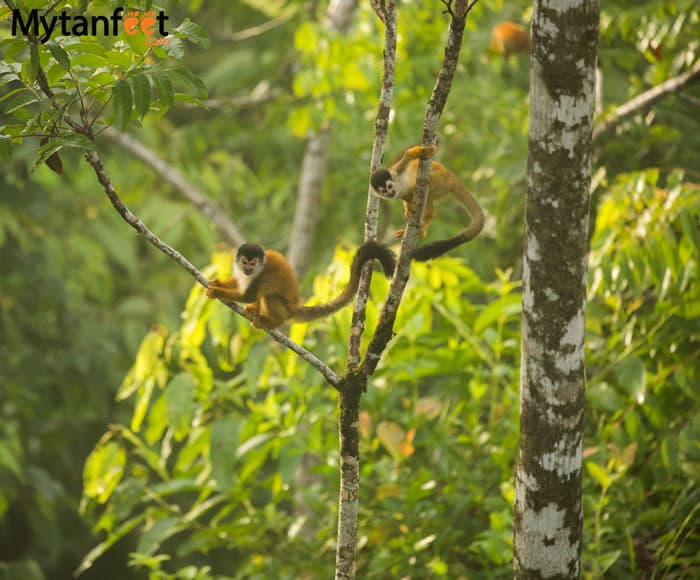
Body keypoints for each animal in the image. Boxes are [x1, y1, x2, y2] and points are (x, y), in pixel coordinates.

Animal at [205, 240, 396, 328]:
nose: (248, 269)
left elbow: (248, 294)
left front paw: (217, 292)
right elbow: (239, 283)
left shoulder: (262, 275)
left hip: (285, 310)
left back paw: (273, 322)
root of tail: (295, 307)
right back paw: (254, 310)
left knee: (269, 296)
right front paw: (217, 282)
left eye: (252, 264)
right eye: (244, 262)